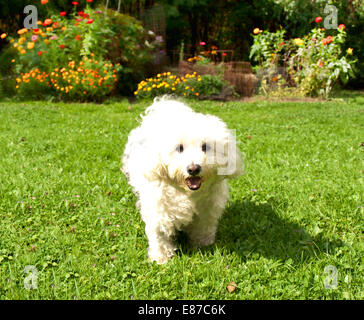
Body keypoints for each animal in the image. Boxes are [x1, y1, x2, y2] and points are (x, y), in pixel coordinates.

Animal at [121, 98, 242, 264]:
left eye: (205, 147)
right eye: (179, 148)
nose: (193, 168)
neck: (187, 193)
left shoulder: (206, 211)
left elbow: (203, 227)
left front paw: (202, 243)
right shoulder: (159, 211)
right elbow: (160, 235)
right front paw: (161, 258)